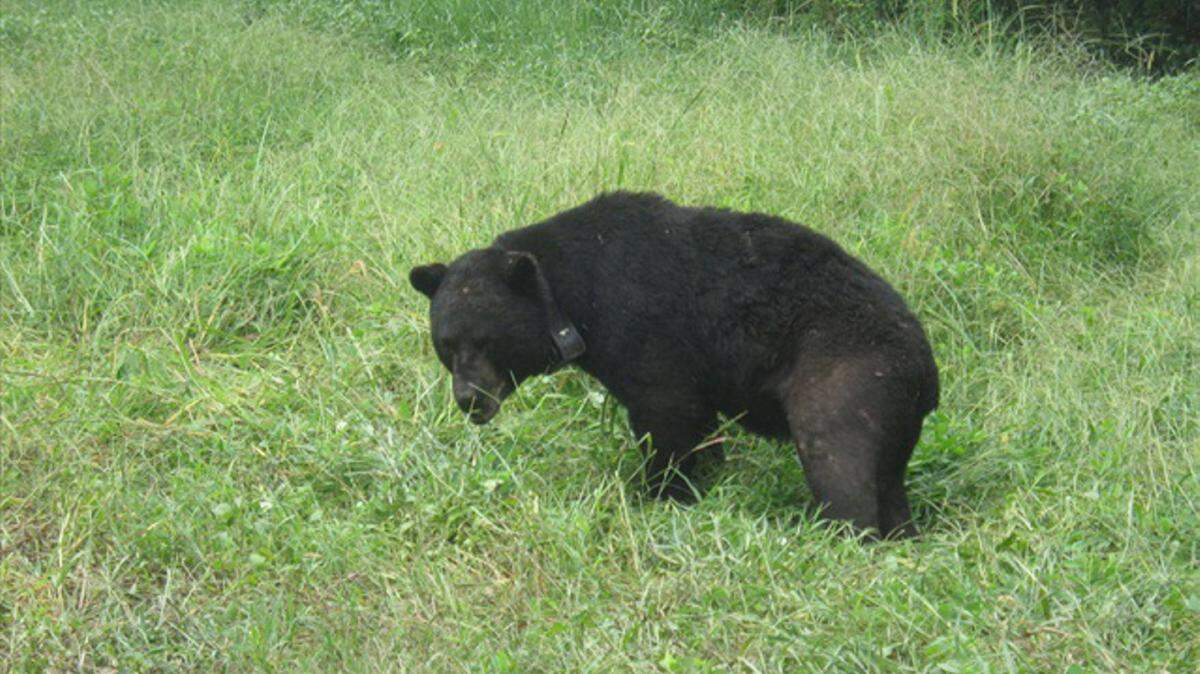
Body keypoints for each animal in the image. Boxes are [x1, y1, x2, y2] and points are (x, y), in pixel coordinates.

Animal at [409, 191, 939, 539]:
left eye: (485, 341)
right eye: (446, 345)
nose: (469, 399)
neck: (567, 296)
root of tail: (927, 370)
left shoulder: (646, 328)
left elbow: (668, 415)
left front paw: (660, 494)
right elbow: (699, 424)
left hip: (847, 373)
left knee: (839, 458)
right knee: (888, 477)